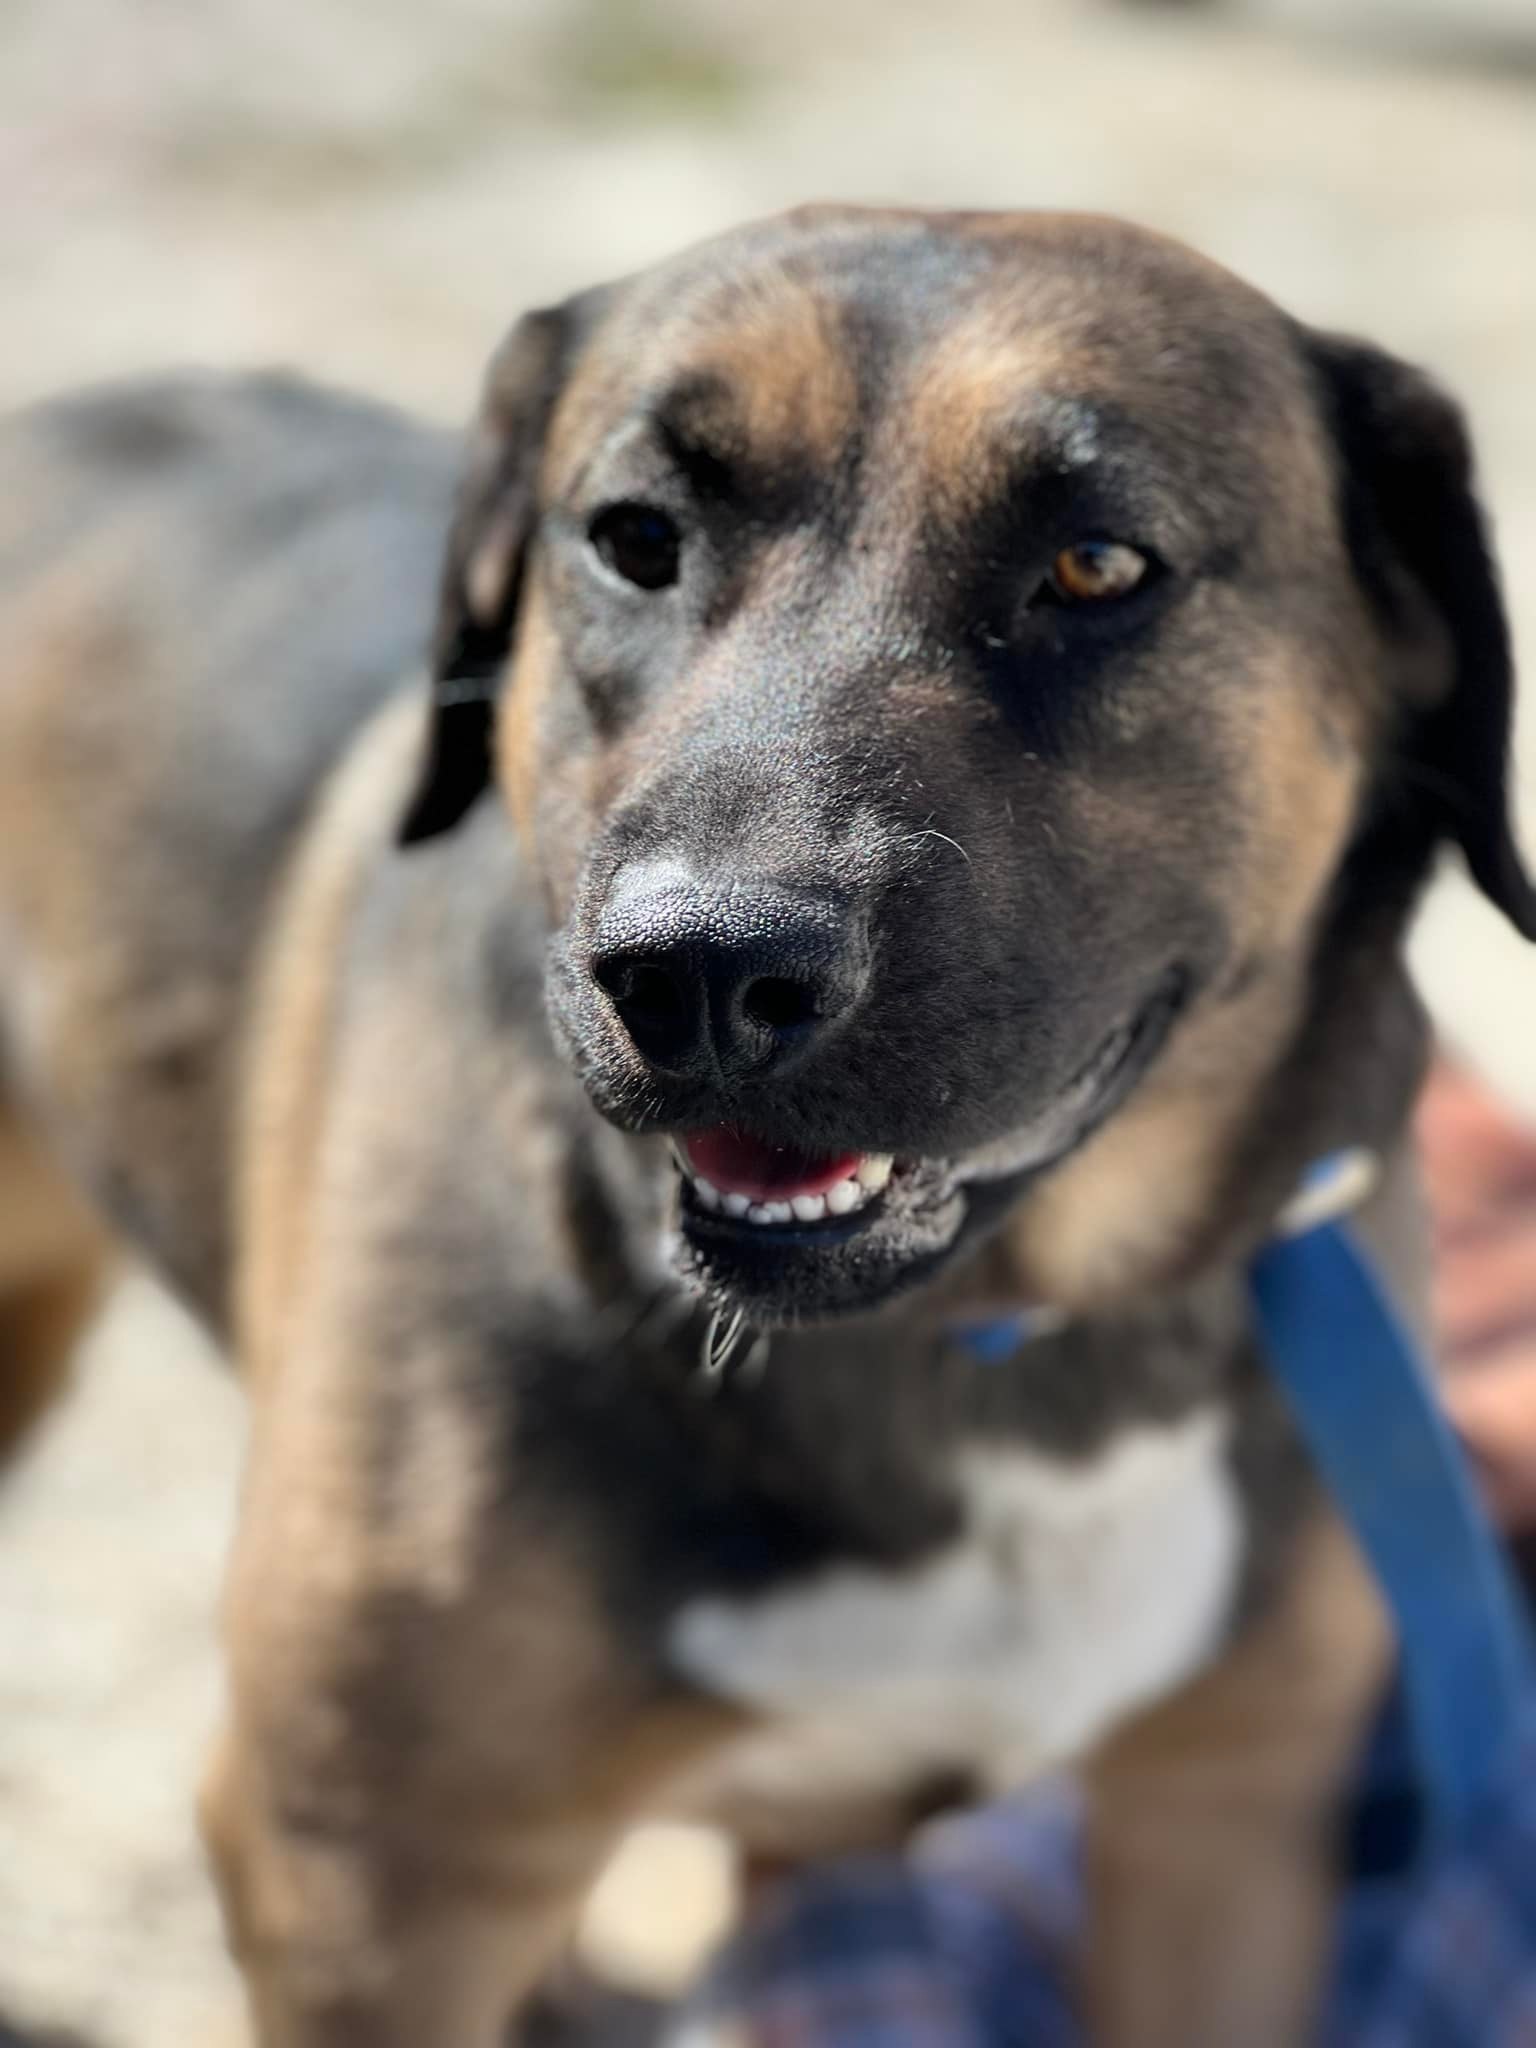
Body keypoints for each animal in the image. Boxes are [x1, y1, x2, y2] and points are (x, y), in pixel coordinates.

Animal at [0, 211, 1531, 2048]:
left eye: (1097, 565)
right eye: (634, 539)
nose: (699, 975)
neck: (985, 1347)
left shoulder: (1226, 1814)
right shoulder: (361, 1887)